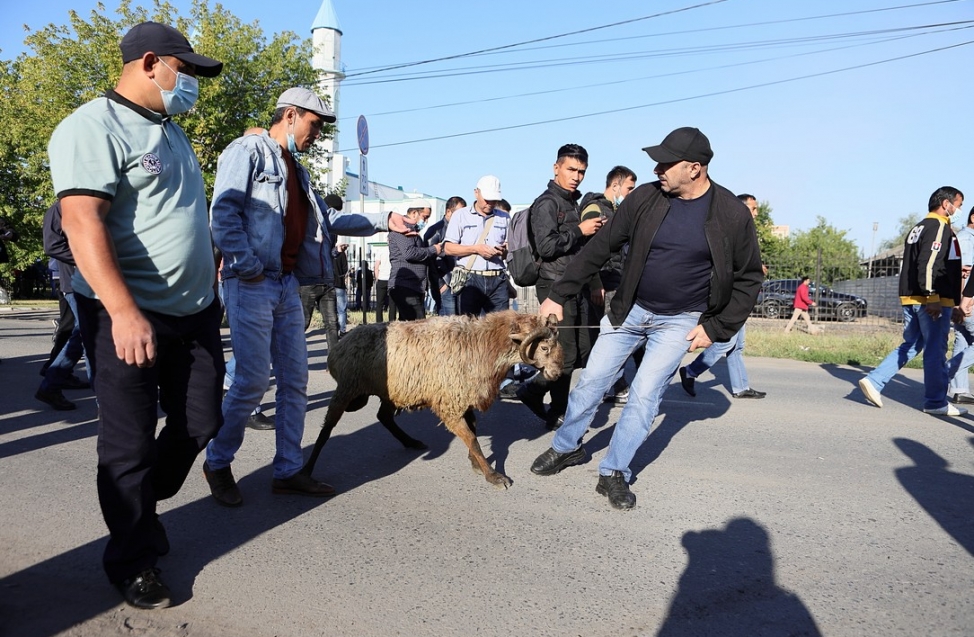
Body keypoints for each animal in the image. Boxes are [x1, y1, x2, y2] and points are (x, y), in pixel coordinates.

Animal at [304, 310, 564, 490]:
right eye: (544, 347)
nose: (557, 374)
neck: (480, 344)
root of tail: (339, 346)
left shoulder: (462, 398)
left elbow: (473, 431)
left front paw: (475, 463)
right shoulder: (450, 403)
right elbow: (471, 437)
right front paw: (493, 475)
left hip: (392, 390)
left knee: (383, 417)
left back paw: (411, 442)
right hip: (347, 388)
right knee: (327, 429)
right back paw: (306, 471)